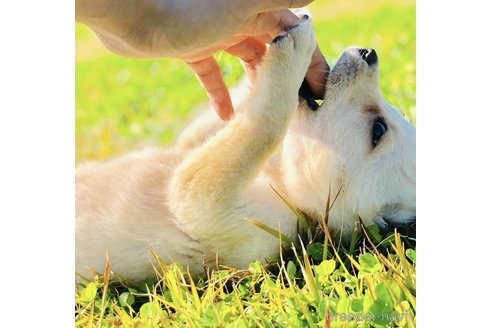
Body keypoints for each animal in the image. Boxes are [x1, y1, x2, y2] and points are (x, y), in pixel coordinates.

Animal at [76, 17, 416, 282]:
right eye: (389, 120)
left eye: (378, 131)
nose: (369, 52)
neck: (280, 184)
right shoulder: (190, 145)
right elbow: (232, 119)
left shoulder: (205, 204)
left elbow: (267, 121)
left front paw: (291, 54)